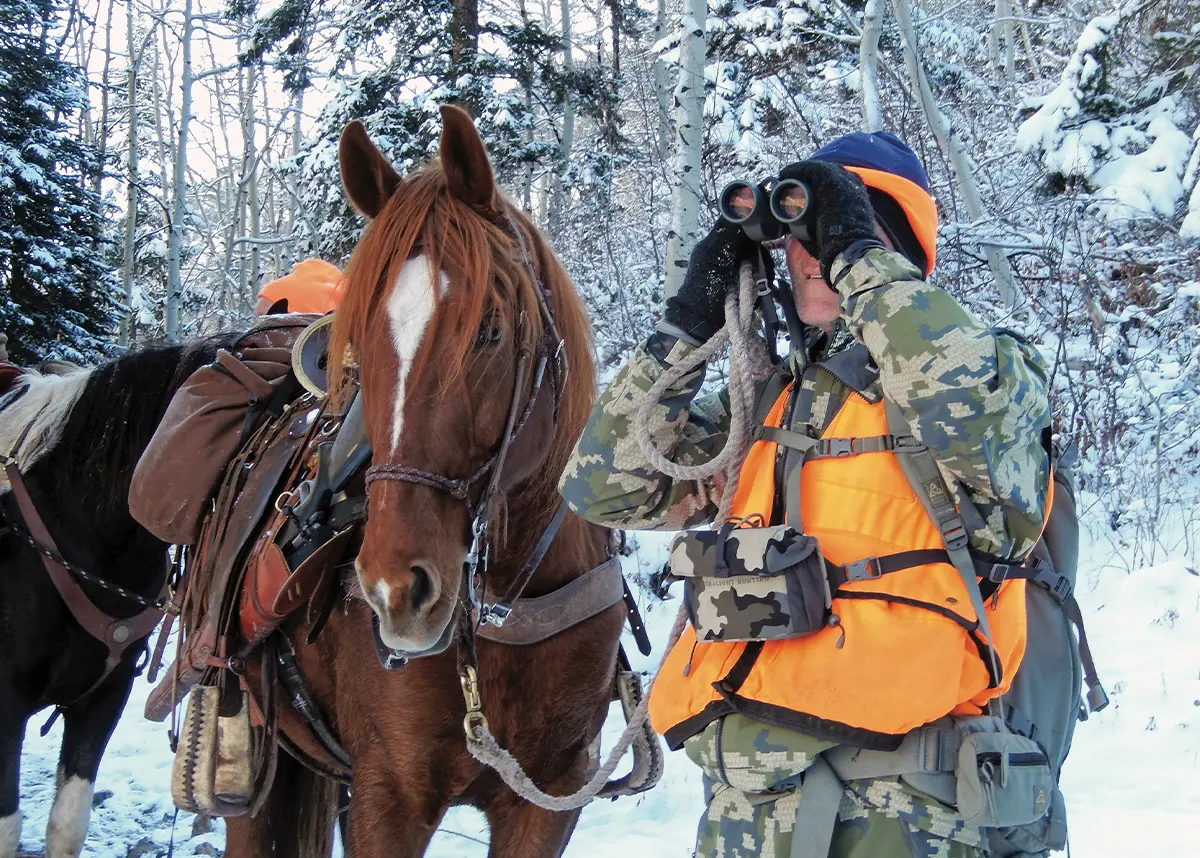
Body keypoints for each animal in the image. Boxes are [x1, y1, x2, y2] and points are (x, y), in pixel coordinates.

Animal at [219, 107, 624, 858]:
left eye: (489, 331)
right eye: (358, 343)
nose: (393, 590)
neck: (505, 610)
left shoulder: (549, 799)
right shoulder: (390, 797)